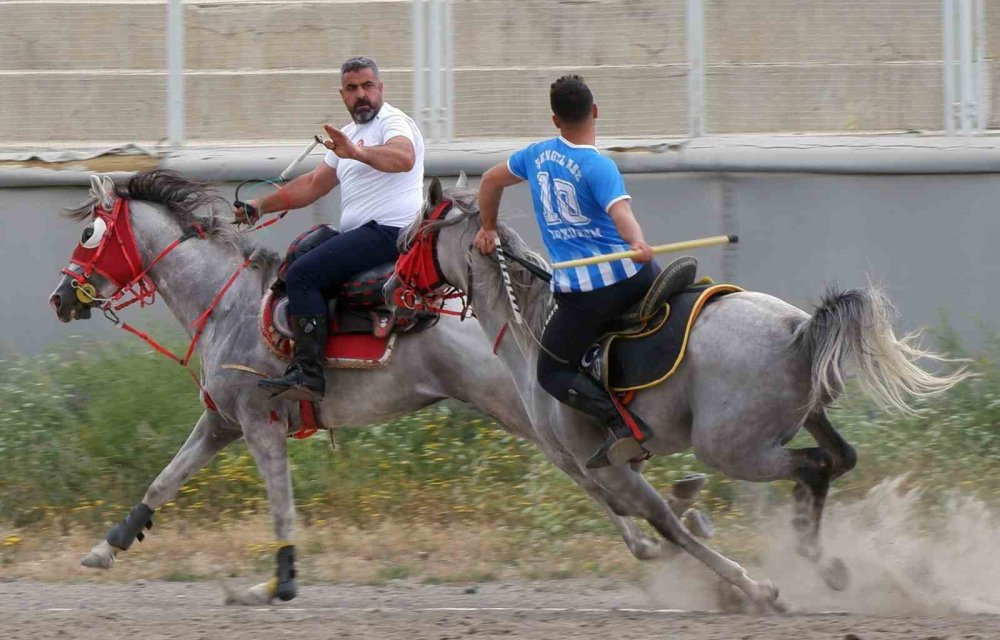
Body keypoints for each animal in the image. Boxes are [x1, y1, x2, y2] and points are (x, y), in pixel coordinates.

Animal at [47, 170, 704, 604]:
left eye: (89, 236)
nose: (59, 298)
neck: (227, 302)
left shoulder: (260, 426)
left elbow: (280, 505)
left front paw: (282, 580)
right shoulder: (222, 423)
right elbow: (163, 481)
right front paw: (109, 544)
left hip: (521, 411)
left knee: (588, 473)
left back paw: (660, 532)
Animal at [386, 176, 972, 608]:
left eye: (412, 238)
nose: (391, 290)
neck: (533, 333)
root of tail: (797, 329)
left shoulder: (604, 465)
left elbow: (663, 524)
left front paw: (752, 585)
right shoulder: (593, 468)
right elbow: (644, 521)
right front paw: (701, 531)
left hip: (732, 448)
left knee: (814, 467)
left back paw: (815, 556)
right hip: (800, 420)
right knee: (841, 458)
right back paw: (822, 552)